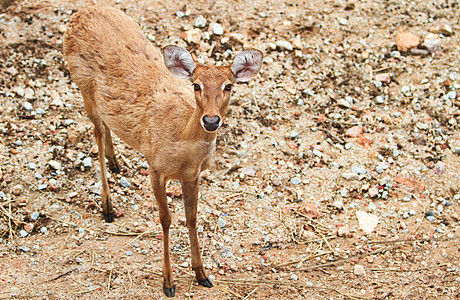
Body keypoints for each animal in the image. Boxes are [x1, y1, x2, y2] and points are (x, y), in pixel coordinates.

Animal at [63, 4, 262, 298]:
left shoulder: (193, 175)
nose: (211, 120)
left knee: (105, 126)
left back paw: (115, 162)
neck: (181, 140)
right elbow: (166, 219)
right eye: (196, 85)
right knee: (96, 132)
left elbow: (191, 217)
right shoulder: (155, 166)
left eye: (229, 86)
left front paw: (202, 274)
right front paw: (168, 282)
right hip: (82, 82)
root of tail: (84, 9)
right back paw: (108, 205)